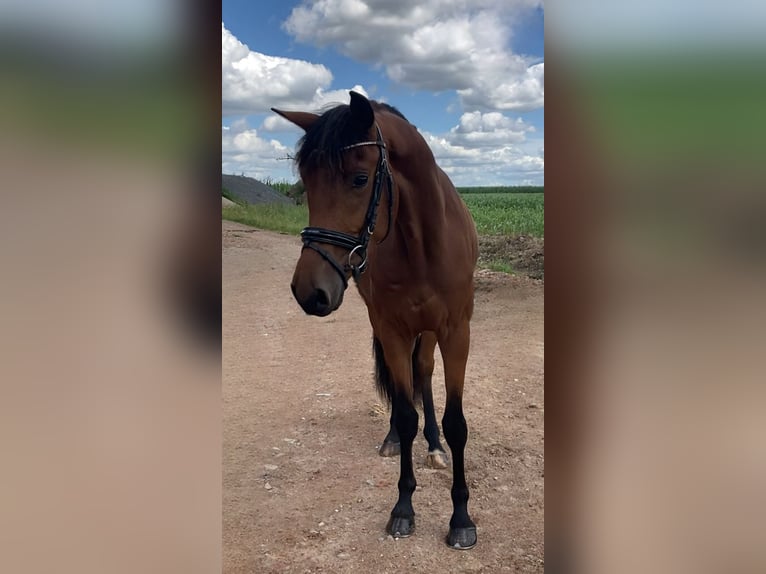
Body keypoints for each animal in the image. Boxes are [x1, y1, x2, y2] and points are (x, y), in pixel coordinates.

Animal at [272, 92, 480, 552]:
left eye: (360, 178)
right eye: (306, 182)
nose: (308, 292)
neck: (422, 244)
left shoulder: (456, 333)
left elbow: (456, 423)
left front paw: (461, 518)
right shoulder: (392, 331)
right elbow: (404, 415)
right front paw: (402, 508)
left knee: (425, 373)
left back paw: (434, 446)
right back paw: (393, 441)